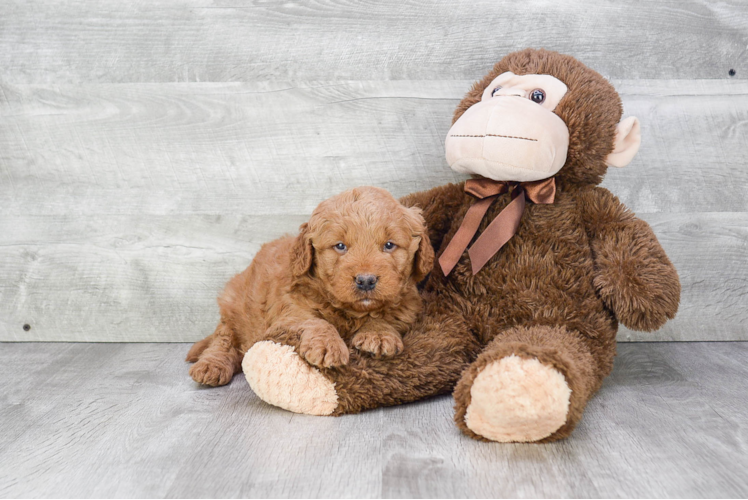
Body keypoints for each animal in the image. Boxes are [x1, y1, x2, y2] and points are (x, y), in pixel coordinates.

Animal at [186, 187, 432, 386]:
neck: (349, 311)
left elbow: (384, 315)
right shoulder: (287, 311)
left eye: (389, 245)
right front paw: (327, 346)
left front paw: (379, 335)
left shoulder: (407, 306)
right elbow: (315, 320)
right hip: (232, 303)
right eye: (340, 246)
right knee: (223, 340)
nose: (366, 280)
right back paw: (211, 366)